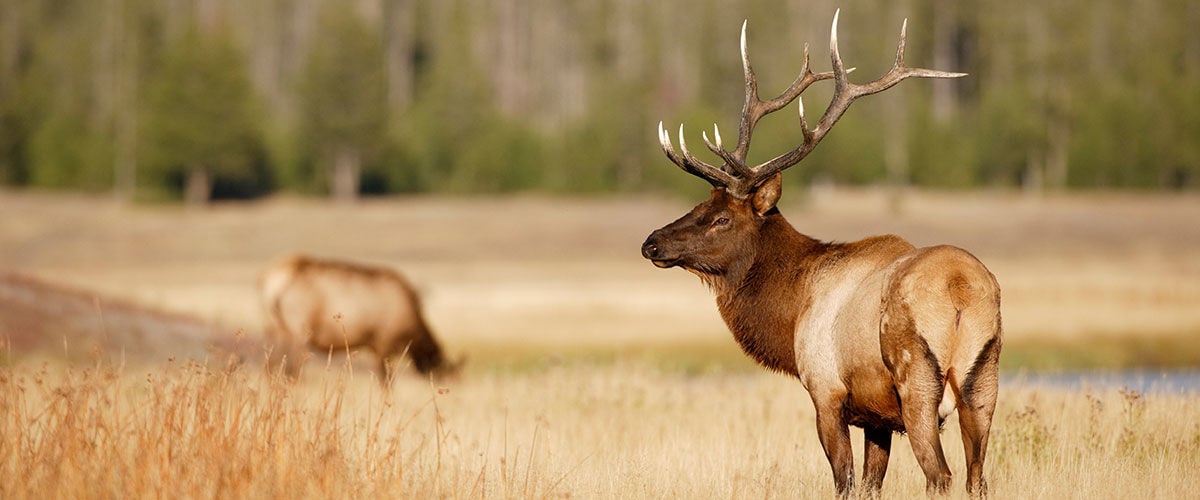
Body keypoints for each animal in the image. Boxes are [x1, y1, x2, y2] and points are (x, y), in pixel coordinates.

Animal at [259, 254, 460, 384]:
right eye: (445, 373)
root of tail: (274, 285)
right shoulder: (383, 343)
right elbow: (386, 382)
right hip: (299, 330)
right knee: (294, 368)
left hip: (274, 327)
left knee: (272, 365)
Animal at [640, 11, 1001, 497]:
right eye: (699, 205)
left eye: (721, 218)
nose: (652, 242)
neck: (793, 308)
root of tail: (960, 288)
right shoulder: (876, 417)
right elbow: (871, 482)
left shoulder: (826, 392)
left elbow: (844, 480)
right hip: (983, 380)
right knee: (977, 478)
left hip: (917, 381)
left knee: (940, 476)